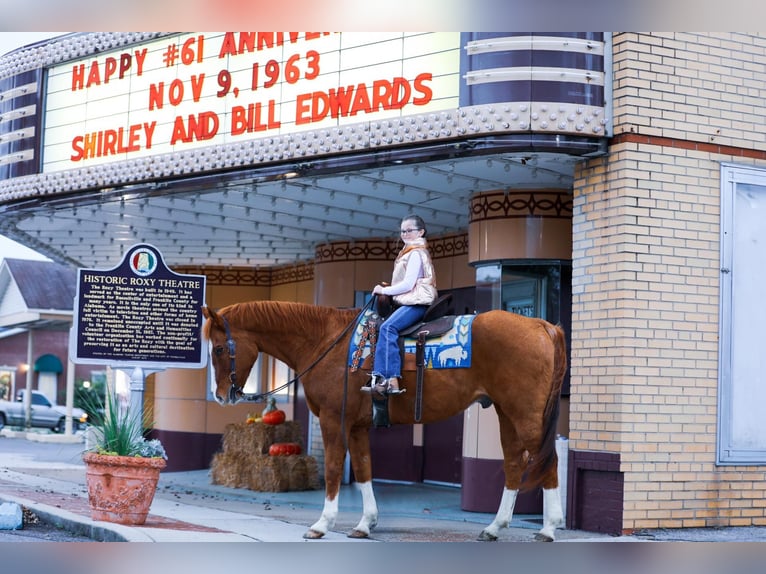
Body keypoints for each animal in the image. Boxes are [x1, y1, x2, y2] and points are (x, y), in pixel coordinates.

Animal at [204, 304, 568, 544]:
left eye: (219, 348)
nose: (221, 396)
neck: (326, 343)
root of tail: (542, 326)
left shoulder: (334, 420)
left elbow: (334, 470)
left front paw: (322, 524)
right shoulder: (357, 427)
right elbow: (364, 470)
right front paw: (365, 523)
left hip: (527, 417)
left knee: (548, 463)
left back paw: (549, 528)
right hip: (507, 414)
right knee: (514, 464)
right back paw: (494, 527)